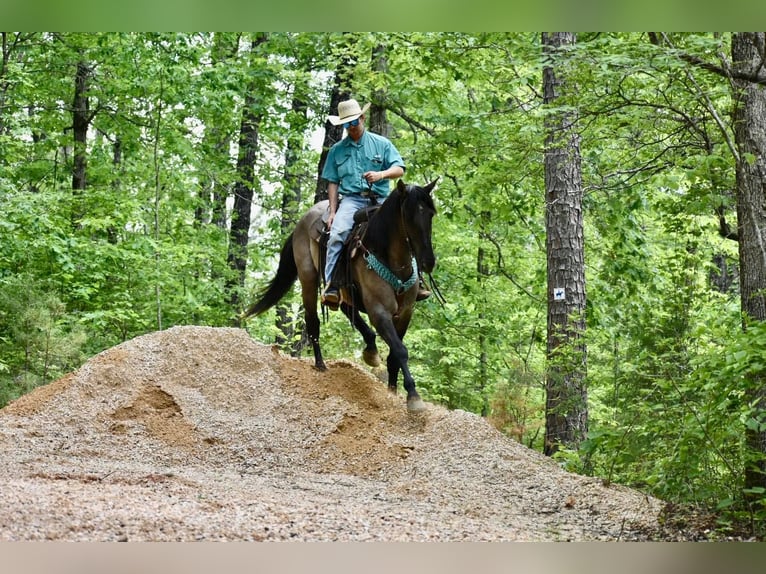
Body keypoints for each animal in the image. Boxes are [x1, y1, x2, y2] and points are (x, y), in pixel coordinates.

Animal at [246, 180, 438, 414]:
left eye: (430, 214)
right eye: (408, 215)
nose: (428, 262)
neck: (387, 255)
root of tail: (303, 220)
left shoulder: (405, 312)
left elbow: (394, 355)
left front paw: (393, 390)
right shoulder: (379, 312)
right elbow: (400, 350)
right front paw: (413, 396)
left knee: (347, 308)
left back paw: (370, 350)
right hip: (308, 278)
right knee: (313, 320)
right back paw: (320, 364)